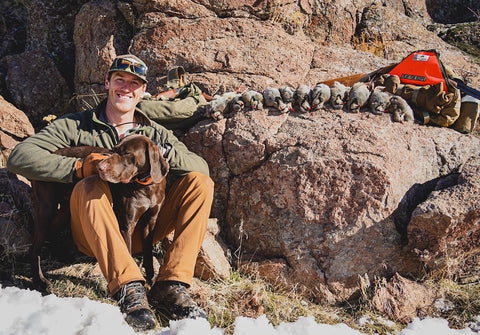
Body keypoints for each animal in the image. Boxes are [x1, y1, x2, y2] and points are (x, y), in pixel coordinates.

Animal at [29, 135, 169, 292]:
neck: (145, 186)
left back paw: (60, 255)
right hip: (47, 209)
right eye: (113, 150)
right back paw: (39, 280)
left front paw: (151, 279)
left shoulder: (150, 223)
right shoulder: (126, 225)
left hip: (64, 211)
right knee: (34, 249)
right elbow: (127, 253)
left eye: (127, 153)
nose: (99, 167)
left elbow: (148, 255)